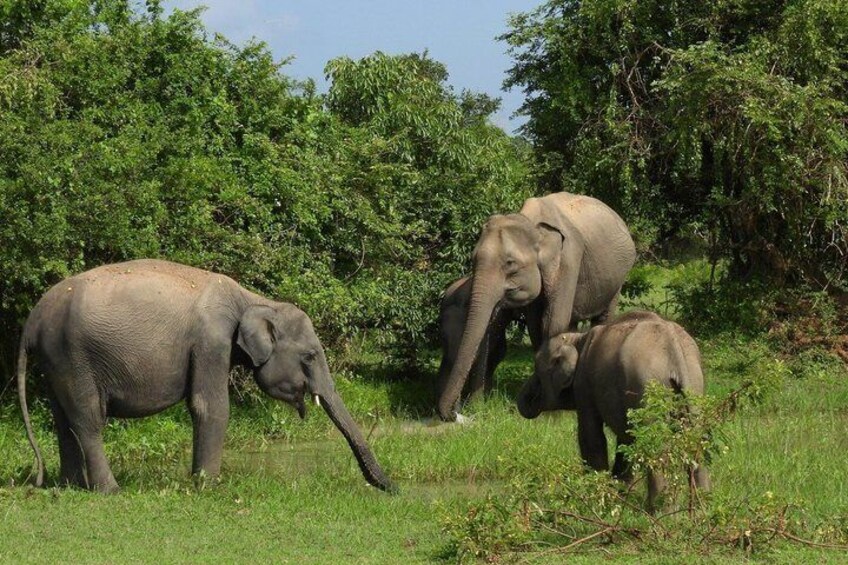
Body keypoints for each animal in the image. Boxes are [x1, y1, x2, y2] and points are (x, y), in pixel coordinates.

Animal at [17, 259, 395, 493]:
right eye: (310, 356)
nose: (393, 488)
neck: (252, 298)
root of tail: (33, 319)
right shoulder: (211, 341)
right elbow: (209, 406)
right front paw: (209, 486)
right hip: (73, 356)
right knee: (88, 419)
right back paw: (111, 491)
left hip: (55, 361)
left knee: (63, 419)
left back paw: (71, 487)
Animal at [516, 310, 710, 512]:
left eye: (537, 368)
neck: (578, 338)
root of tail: (674, 347)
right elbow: (626, 441)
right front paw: (620, 496)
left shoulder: (584, 383)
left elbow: (590, 436)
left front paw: (597, 498)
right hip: (695, 388)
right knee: (698, 440)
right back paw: (702, 508)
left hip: (644, 388)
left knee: (655, 447)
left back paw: (660, 511)